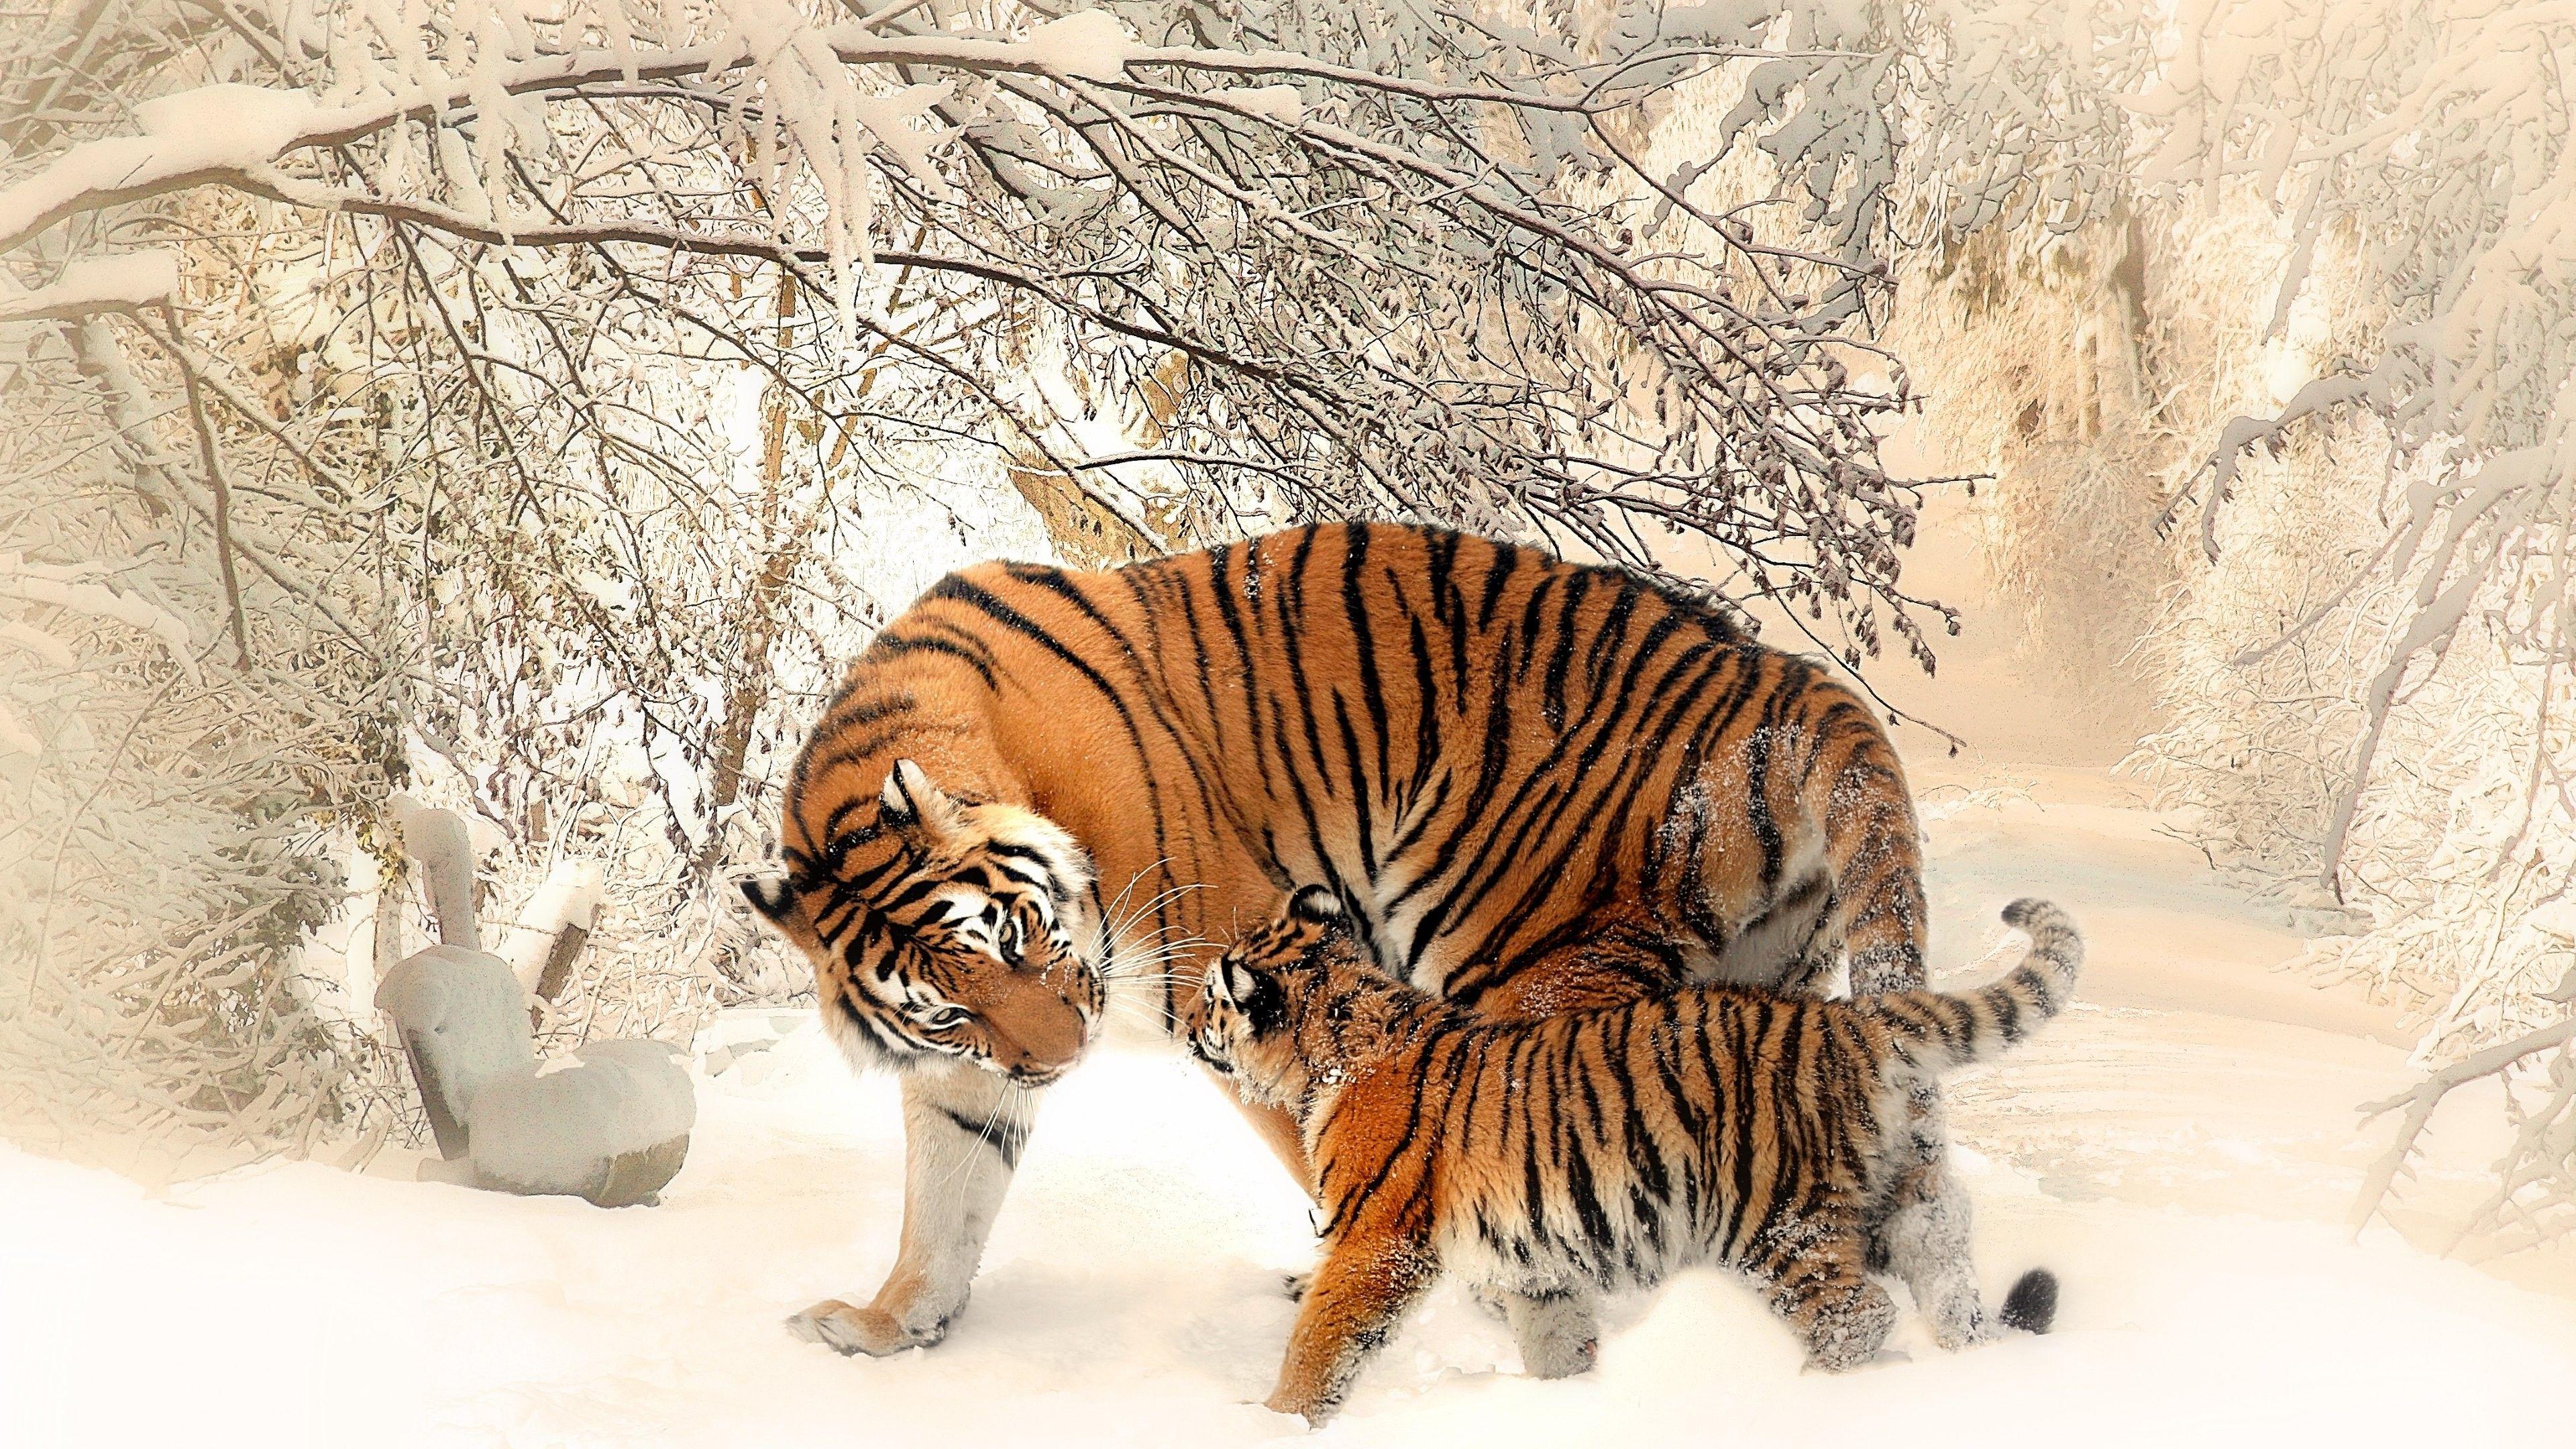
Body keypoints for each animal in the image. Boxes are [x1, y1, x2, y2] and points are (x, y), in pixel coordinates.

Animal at [741, 520, 1943, 1361]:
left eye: (1023, 937)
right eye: (949, 1008)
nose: (1063, 1060)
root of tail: (1782, 678)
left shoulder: (1231, 959)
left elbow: (1326, 1144)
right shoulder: (967, 1071)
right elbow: (944, 1199)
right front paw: (888, 1325)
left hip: (1523, 960)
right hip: (1758, 988)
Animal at [1189, 886, 2081, 1425]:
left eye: (1209, 997)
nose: (1189, 1027)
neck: (1337, 1040)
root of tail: (1847, 1020)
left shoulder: (1374, 1242)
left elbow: (1321, 1342)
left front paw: (1275, 1419)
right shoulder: (1533, 1262)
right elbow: (1555, 1339)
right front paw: (1568, 1404)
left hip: (1776, 1220)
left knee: (1857, 1314)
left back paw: (1807, 1399)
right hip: (1900, 1198)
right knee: (1946, 1276)